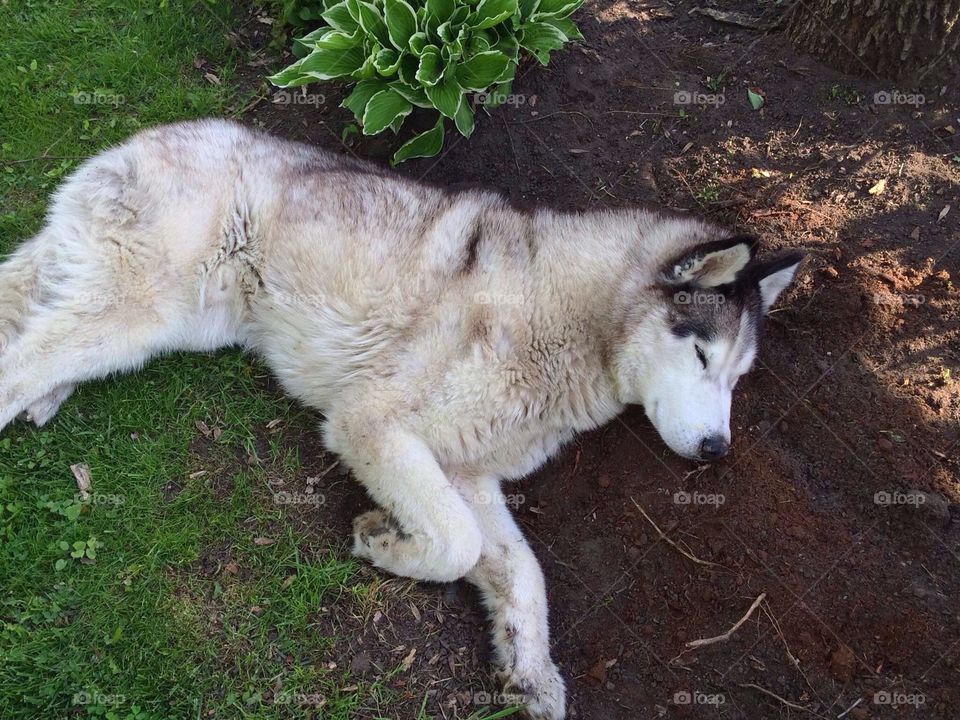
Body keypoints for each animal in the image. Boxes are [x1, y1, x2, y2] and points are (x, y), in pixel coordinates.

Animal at [1, 121, 804, 716]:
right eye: (700, 356)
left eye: (738, 379)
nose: (717, 449)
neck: (566, 325)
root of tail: (149, 136)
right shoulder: (371, 426)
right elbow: (453, 542)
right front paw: (384, 540)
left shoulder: (466, 472)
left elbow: (522, 571)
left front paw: (531, 669)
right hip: (144, 311)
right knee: (20, 359)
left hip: (173, 321)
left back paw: (51, 393)